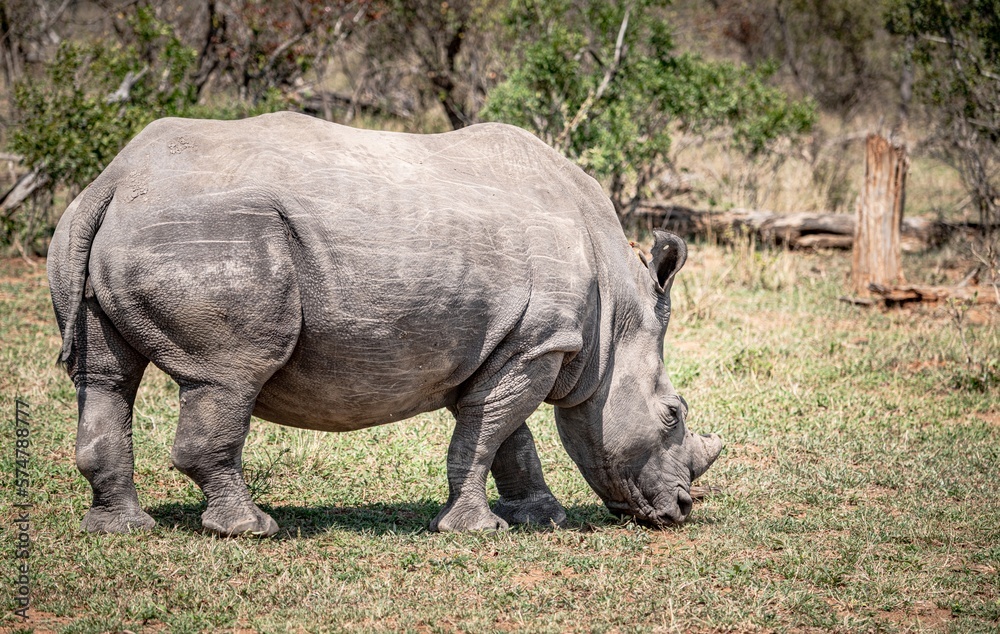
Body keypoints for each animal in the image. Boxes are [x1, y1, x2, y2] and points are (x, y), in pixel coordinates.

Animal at [48, 112, 723, 536]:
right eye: (673, 415)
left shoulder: (504, 347)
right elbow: (488, 435)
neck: (616, 317)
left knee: (106, 379)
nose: (680, 509)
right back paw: (253, 530)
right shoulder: (538, 345)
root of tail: (115, 181)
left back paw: (122, 529)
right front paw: (477, 531)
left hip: (106, 225)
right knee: (230, 377)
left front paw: (542, 518)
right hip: (211, 233)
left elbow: (507, 437)